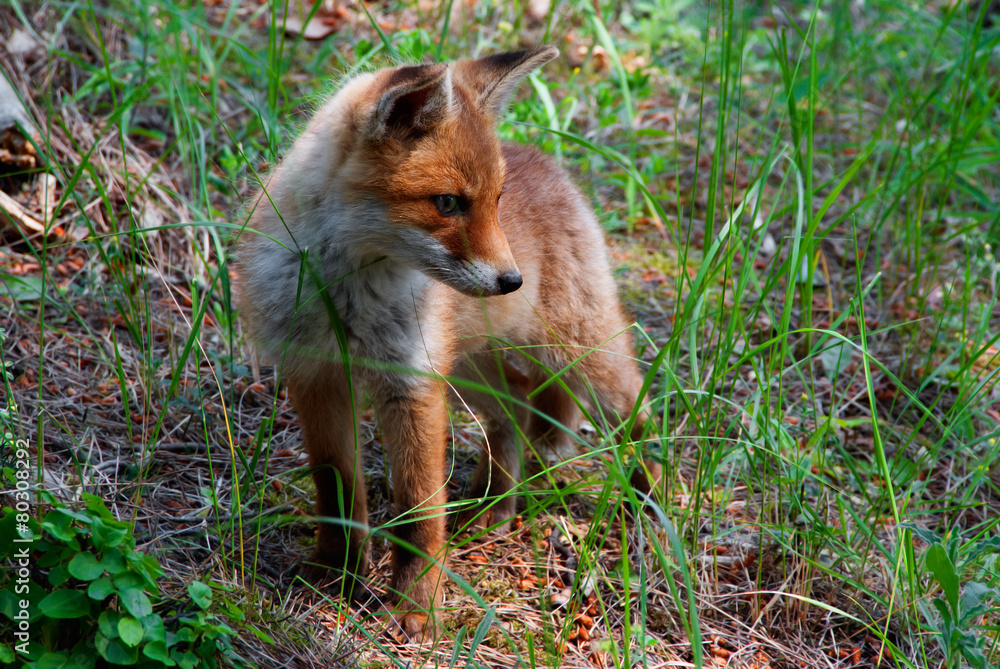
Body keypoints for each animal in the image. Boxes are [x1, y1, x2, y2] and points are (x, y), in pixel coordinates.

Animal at [237, 46, 661, 639]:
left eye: (496, 200)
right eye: (448, 203)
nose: (511, 281)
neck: (346, 301)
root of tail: (550, 163)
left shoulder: (412, 383)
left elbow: (418, 510)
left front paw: (416, 605)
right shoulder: (314, 376)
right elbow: (336, 489)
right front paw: (337, 573)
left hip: (578, 356)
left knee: (638, 413)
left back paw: (654, 504)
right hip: (467, 370)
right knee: (516, 411)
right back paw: (495, 505)